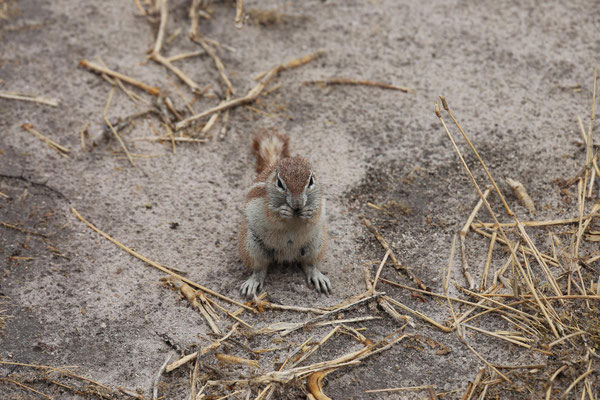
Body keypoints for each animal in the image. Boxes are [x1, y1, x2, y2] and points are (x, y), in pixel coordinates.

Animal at [239, 131, 332, 296]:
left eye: (311, 181)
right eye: (280, 183)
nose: (297, 204)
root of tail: (286, 255)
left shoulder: (320, 201)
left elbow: (316, 214)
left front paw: (308, 212)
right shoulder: (265, 203)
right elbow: (272, 215)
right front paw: (283, 212)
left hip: (316, 243)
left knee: (308, 264)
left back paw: (317, 276)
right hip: (251, 245)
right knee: (260, 268)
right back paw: (253, 281)